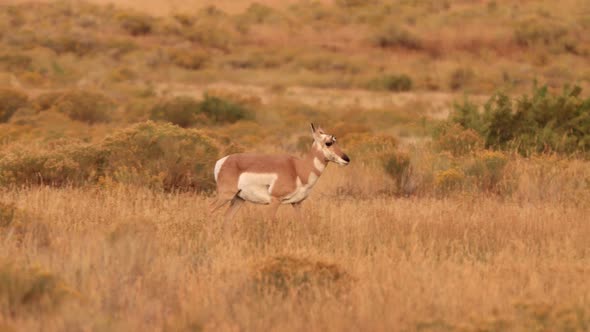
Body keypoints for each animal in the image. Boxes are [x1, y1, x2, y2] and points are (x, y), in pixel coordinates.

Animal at [213, 123, 352, 219]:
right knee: (211, 211)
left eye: (336, 141)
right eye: (328, 143)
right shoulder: (275, 201)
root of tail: (223, 161)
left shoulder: (297, 203)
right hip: (225, 196)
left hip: (238, 199)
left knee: (227, 219)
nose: (346, 159)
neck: (298, 169)